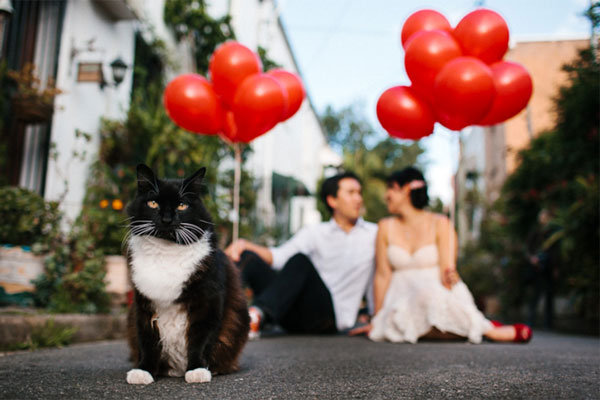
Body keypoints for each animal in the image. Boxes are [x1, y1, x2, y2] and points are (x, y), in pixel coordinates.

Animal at [125, 163, 250, 384]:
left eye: (182, 205)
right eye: (153, 203)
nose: (167, 219)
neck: (166, 253)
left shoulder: (208, 303)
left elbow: (200, 339)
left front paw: (197, 370)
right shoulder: (143, 306)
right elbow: (146, 342)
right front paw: (143, 371)